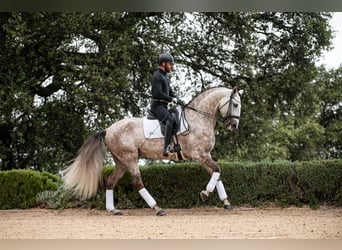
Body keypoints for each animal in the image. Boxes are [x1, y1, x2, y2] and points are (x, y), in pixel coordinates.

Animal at [62, 86, 242, 215]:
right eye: (235, 104)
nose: (234, 126)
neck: (199, 118)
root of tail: (108, 129)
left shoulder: (206, 154)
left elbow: (216, 174)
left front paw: (226, 202)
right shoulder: (199, 154)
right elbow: (217, 170)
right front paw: (205, 193)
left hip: (121, 161)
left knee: (111, 181)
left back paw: (113, 210)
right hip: (130, 158)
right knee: (137, 182)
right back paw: (157, 208)